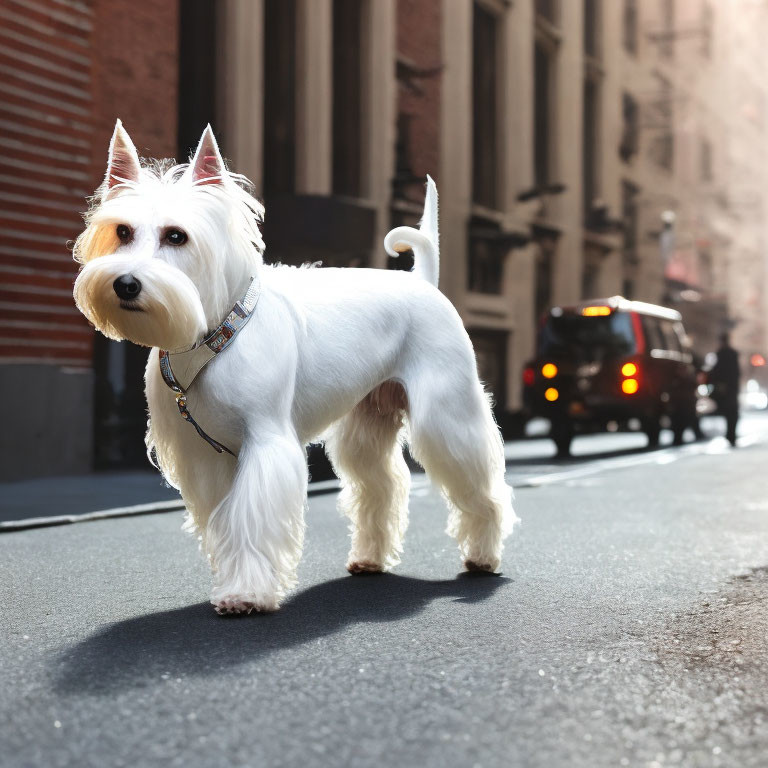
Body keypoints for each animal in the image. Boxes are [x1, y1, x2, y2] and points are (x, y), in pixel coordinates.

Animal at [73, 120, 516, 612]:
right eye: (122, 231)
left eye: (176, 236)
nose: (125, 284)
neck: (216, 332)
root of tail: (423, 282)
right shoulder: (206, 459)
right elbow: (225, 521)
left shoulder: (265, 444)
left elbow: (249, 523)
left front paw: (246, 593)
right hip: (367, 427)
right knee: (381, 488)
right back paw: (370, 558)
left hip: (447, 419)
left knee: (482, 487)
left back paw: (483, 555)